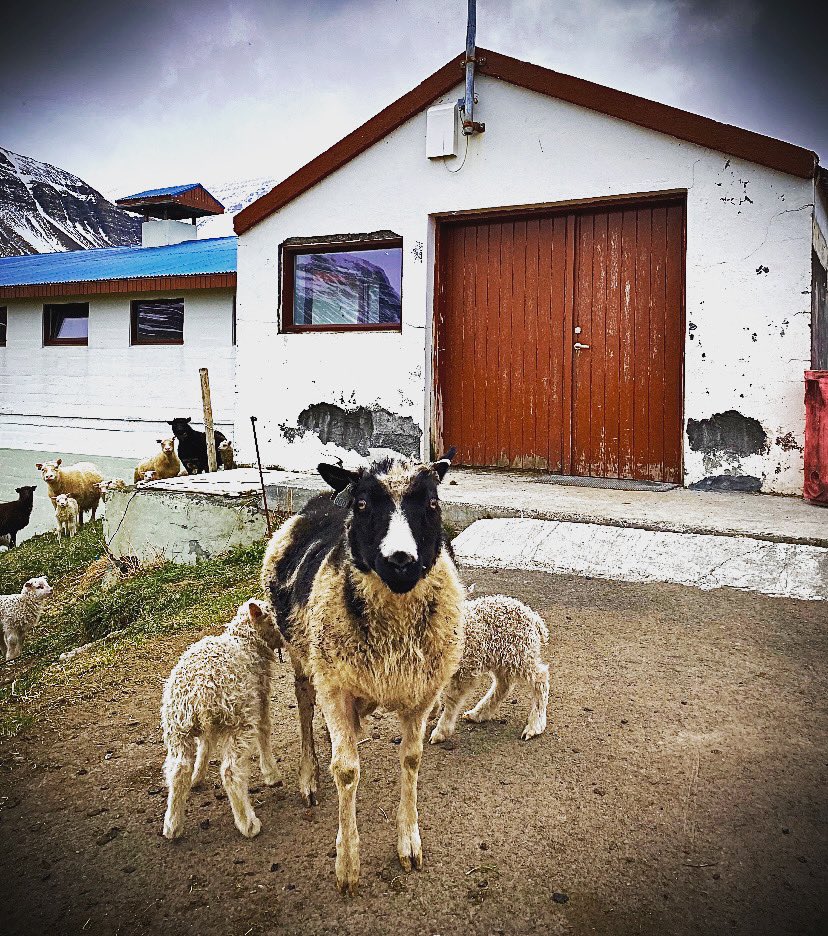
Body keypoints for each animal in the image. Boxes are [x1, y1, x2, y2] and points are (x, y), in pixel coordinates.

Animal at [160, 599, 282, 840]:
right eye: (272, 618)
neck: (245, 641)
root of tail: (199, 691)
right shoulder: (261, 697)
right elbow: (265, 731)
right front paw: (271, 774)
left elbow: (205, 746)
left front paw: (198, 776)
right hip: (239, 720)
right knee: (230, 772)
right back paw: (248, 823)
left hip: (177, 726)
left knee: (178, 770)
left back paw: (172, 824)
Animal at [261, 448, 464, 895]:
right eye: (363, 505)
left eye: (433, 503)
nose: (400, 561)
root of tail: (324, 497)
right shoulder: (334, 685)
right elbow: (346, 770)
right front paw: (348, 865)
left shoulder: (422, 693)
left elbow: (411, 758)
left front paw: (409, 844)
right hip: (304, 656)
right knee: (305, 702)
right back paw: (309, 777)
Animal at [429, 595, 550, 744]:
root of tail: (533, 617)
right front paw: (433, 711)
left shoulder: (464, 668)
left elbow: (451, 700)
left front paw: (440, 732)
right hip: (501, 657)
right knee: (504, 685)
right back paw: (477, 714)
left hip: (519, 653)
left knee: (540, 679)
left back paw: (534, 726)